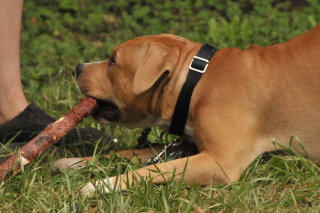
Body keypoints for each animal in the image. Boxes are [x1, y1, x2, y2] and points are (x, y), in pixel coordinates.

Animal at [53, 22, 318, 195]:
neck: (196, 81)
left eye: (113, 61)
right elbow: (128, 154)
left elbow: (155, 170)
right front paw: (72, 162)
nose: (78, 67)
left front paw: (101, 185)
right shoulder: (186, 147)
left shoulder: (219, 163)